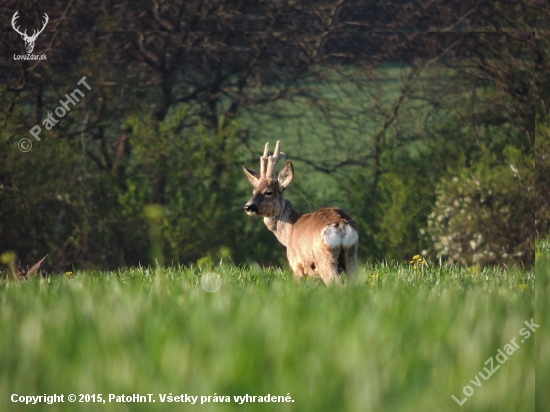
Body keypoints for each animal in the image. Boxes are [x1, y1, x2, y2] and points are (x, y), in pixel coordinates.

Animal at [244, 141, 360, 284]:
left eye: (268, 192)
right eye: (254, 191)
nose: (248, 207)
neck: (289, 231)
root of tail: (341, 225)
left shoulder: (296, 264)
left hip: (324, 258)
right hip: (352, 255)